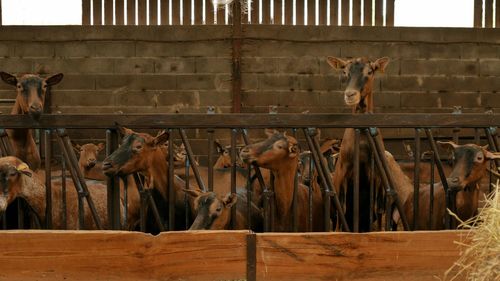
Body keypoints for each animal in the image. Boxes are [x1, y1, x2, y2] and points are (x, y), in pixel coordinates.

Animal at [326, 57, 412, 232]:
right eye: (344, 71)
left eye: (370, 71)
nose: (350, 94)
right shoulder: (343, 175)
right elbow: (341, 210)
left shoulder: (378, 181)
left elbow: (378, 212)